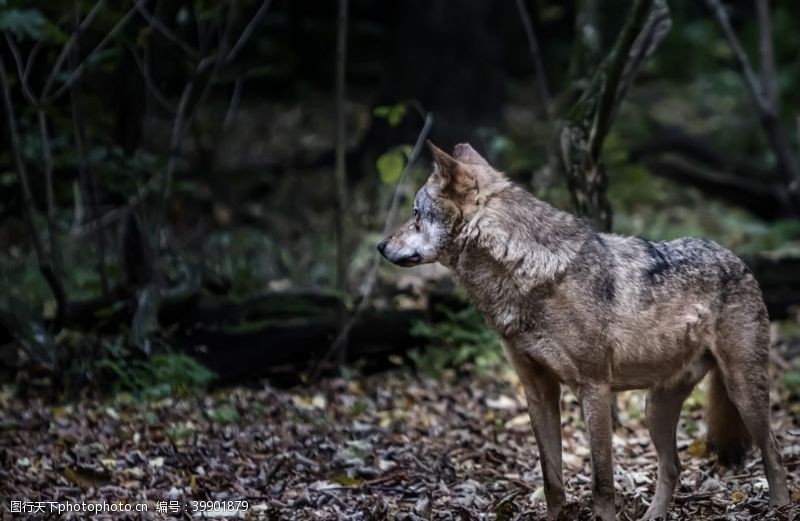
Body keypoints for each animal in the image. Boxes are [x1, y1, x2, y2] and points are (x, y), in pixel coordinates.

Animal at [378, 140, 792, 516]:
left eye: (415, 213)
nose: (381, 246)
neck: (524, 272)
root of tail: (737, 258)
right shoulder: (538, 391)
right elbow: (552, 481)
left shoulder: (593, 388)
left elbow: (601, 483)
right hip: (655, 408)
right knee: (673, 467)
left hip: (742, 391)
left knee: (772, 451)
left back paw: (780, 506)